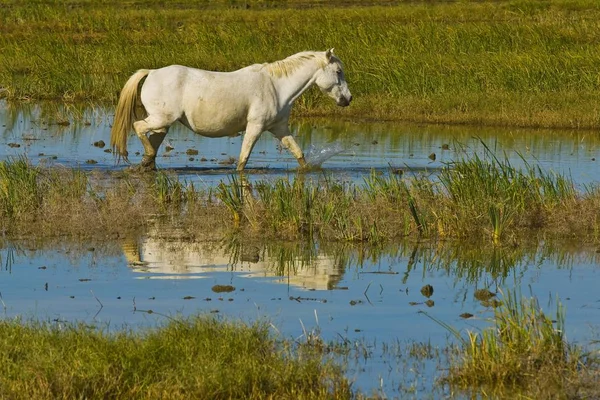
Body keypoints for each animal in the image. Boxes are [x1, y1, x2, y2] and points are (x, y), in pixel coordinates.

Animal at [111, 48, 352, 170]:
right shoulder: (255, 127)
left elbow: (298, 153)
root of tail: (151, 72)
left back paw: (145, 164)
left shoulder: (279, 128)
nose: (347, 99)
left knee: (151, 144)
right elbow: (243, 160)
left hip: (163, 125)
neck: (277, 87)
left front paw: (308, 170)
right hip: (161, 119)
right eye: (338, 71)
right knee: (138, 127)